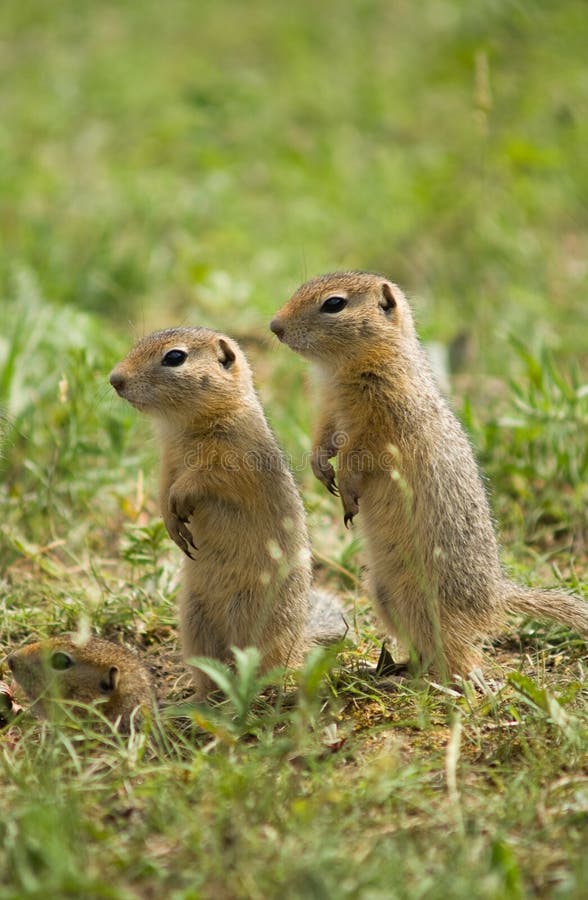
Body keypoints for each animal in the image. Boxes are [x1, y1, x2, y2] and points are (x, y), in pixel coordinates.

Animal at [111, 326, 346, 700]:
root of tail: (299, 641)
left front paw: (182, 497)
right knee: (211, 670)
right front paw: (172, 523)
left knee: (263, 666)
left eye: (175, 357)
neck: (185, 426)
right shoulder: (167, 460)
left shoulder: (235, 456)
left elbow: (206, 477)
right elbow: (163, 490)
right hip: (194, 623)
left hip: (250, 619)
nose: (114, 379)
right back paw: (197, 699)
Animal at [272, 270, 588, 680]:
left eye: (334, 304)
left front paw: (348, 491)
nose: (274, 326)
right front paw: (320, 466)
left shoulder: (382, 419)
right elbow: (324, 436)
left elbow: (361, 454)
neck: (340, 368)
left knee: (460, 654)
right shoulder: (327, 407)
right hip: (384, 594)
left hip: (425, 601)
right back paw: (395, 670)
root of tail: (495, 593)